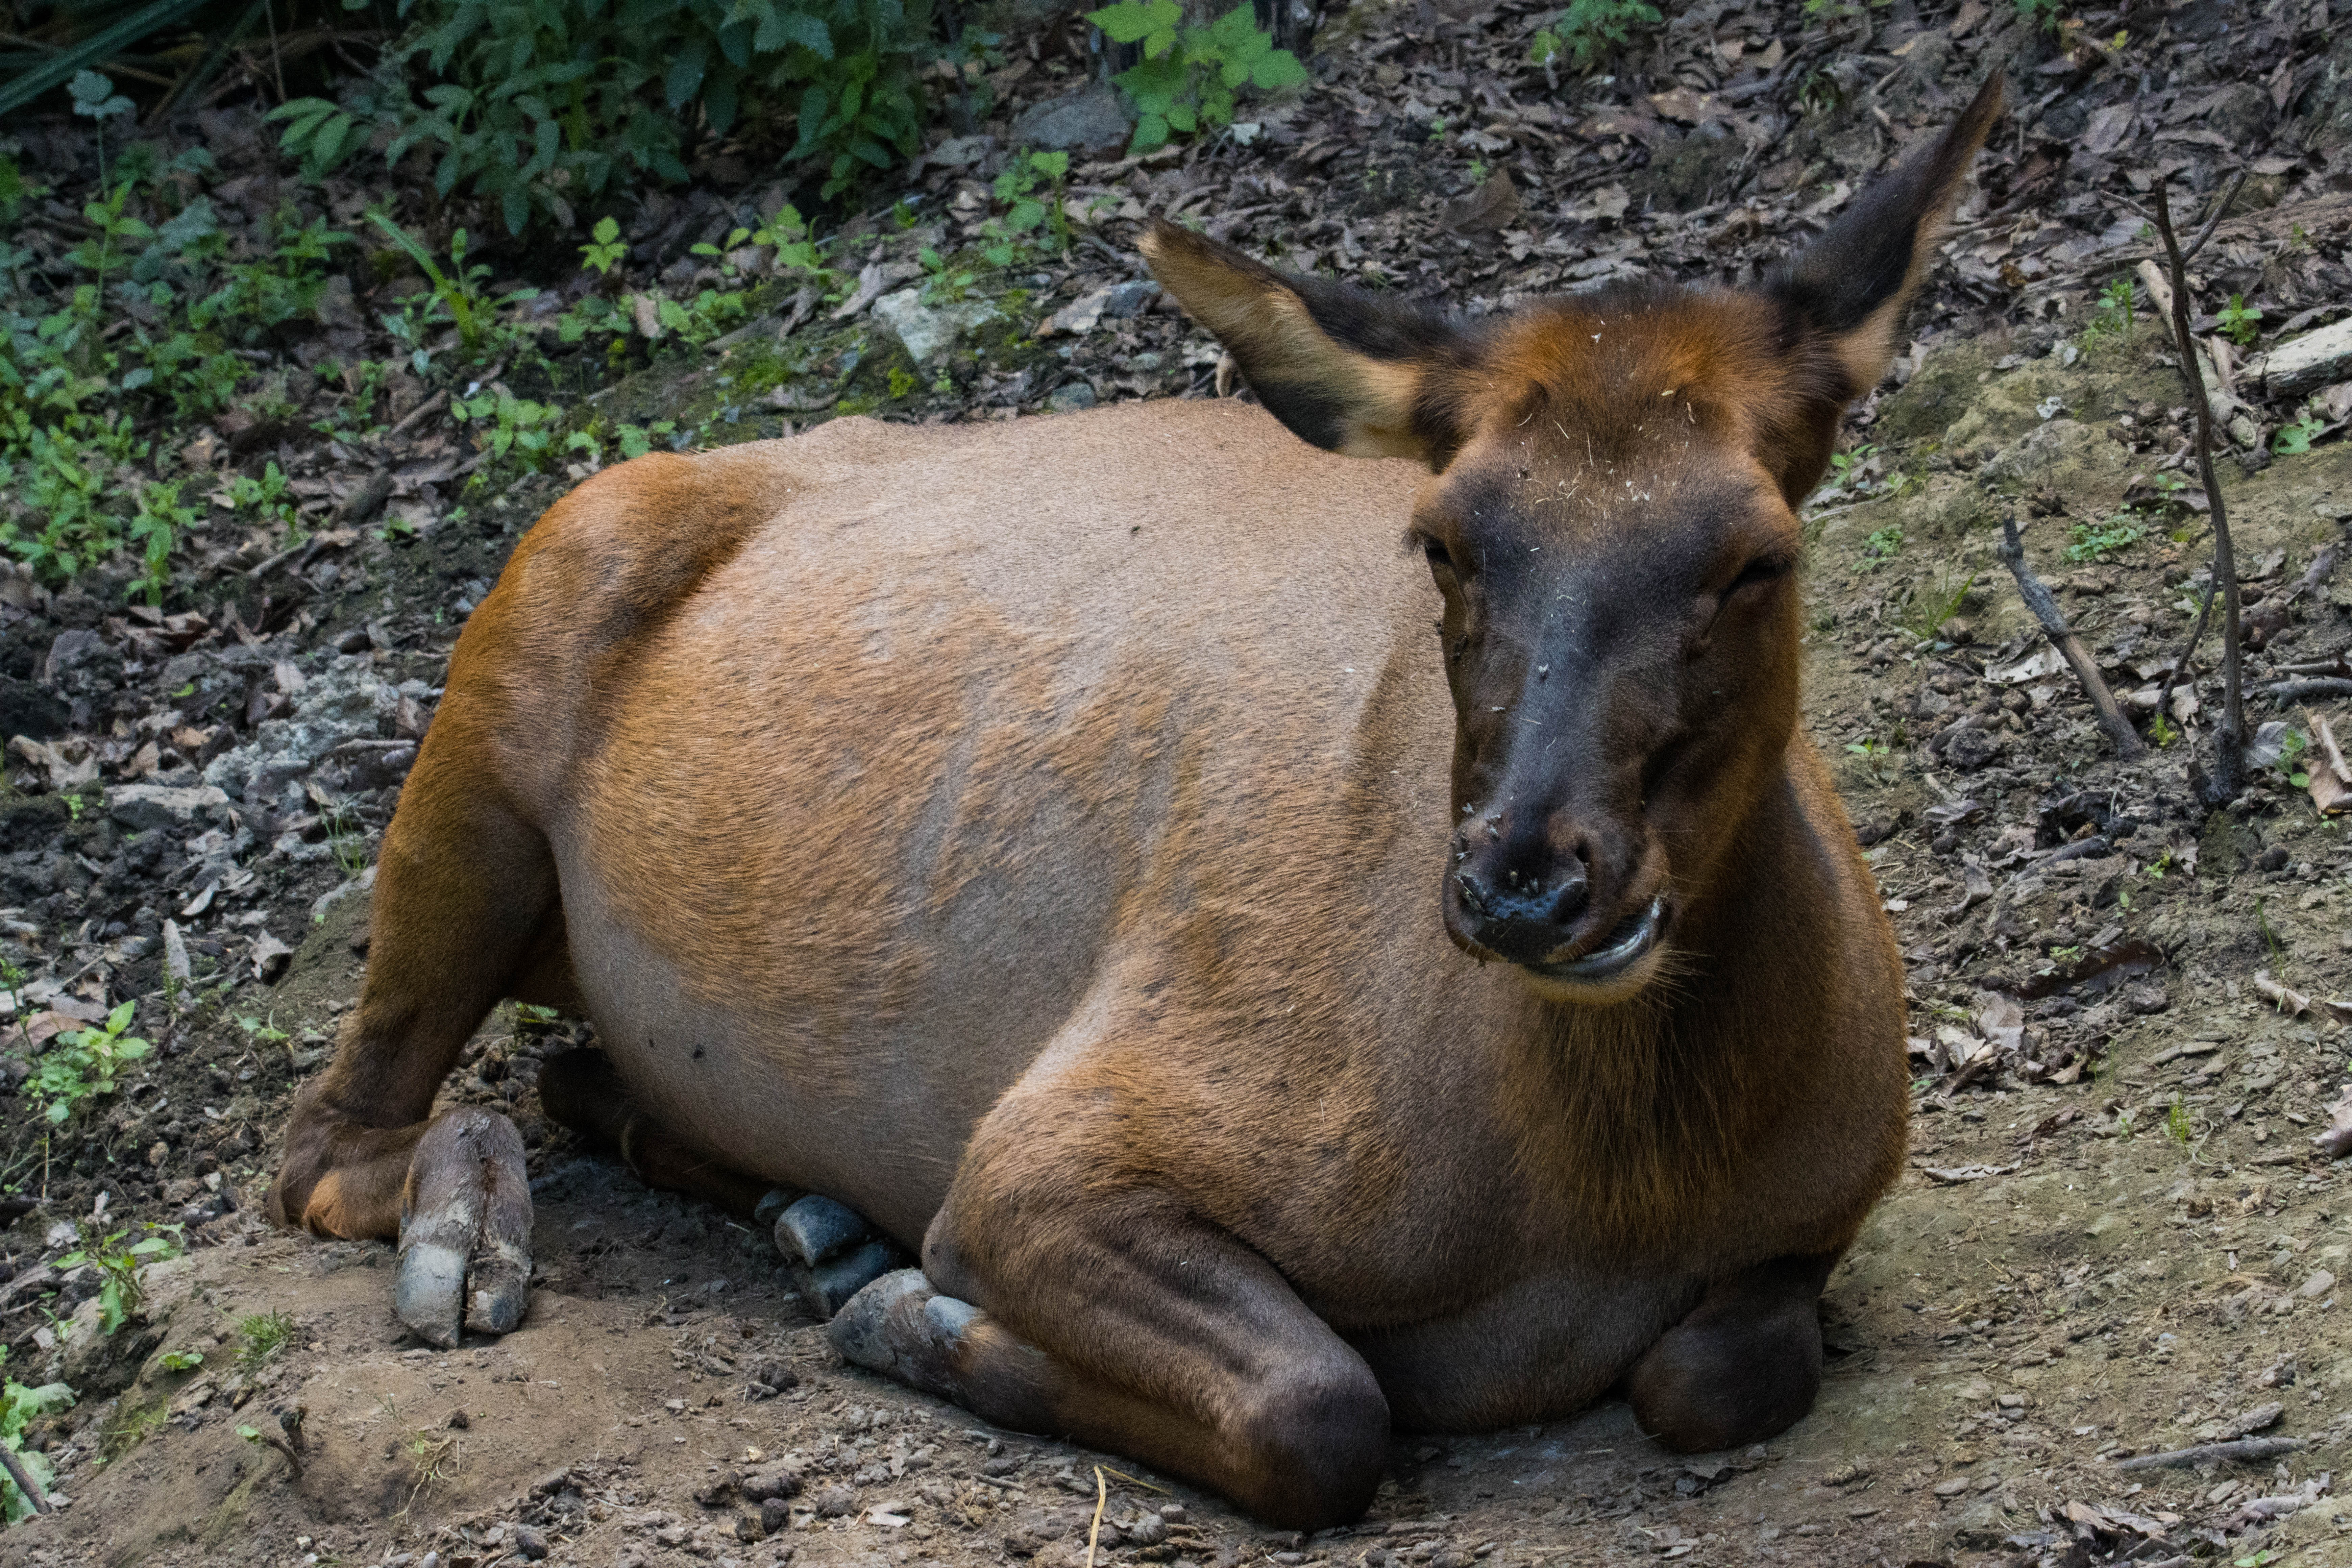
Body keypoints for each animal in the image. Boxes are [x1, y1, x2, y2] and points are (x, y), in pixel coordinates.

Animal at [275, 80, 2004, 1523]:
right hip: (512, 656)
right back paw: (478, 1237)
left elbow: (1712, 1370)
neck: (1597, 1196)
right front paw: (919, 1312)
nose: (1525, 877)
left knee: (562, 1072)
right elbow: (1323, 1405)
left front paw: (879, 1280)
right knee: (330, 1141)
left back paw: (796, 1208)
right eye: (1444, 538)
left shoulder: (1833, 1196)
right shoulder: (1055, 1139)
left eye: (1756, 554)